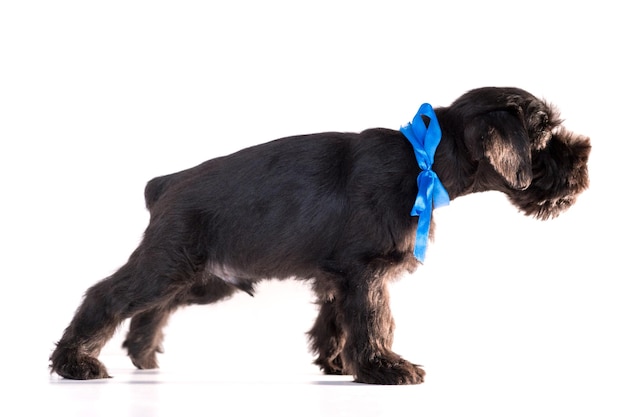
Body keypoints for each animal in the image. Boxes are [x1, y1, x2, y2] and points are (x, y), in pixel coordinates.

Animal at [50, 87, 588, 384]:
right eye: (545, 135)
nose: (584, 160)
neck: (426, 158)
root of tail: (166, 183)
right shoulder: (365, 272)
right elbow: (373, 320)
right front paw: (385, 368)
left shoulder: (341, 276)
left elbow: (336, 320)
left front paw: (341, 363)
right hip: (168, 264)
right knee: (108, 296)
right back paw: (75, 362)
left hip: (203, 279)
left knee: (153, 308)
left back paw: (142, 353)